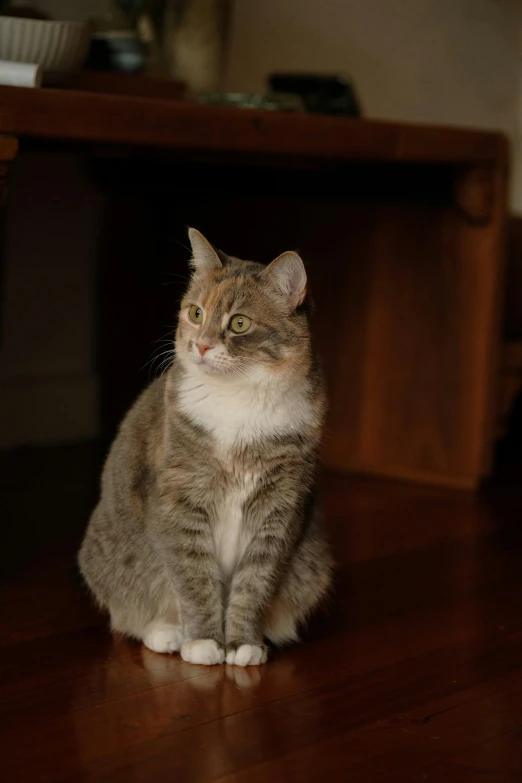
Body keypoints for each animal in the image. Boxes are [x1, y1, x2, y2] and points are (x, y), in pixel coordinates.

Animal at [79, 227, 332, 668]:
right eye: (196, 313)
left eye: (239, 323)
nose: (200, 345)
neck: (239, 400)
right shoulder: (179, 500)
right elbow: (193, 576)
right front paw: (203, 641)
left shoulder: (280, 508)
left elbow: (256, 579)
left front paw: (243, 643)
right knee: (131, 613)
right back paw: (167, 633)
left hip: (311, 564)